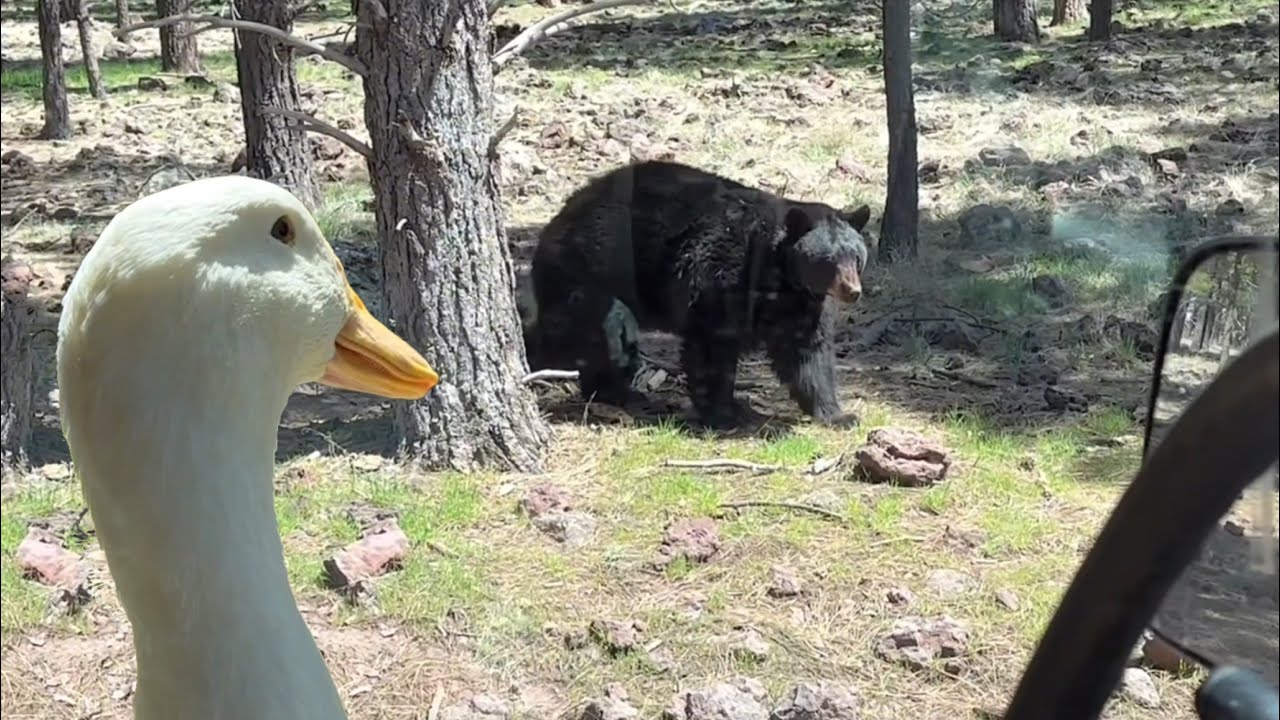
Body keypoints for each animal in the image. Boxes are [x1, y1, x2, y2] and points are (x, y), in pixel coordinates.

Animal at [529, 160, 873, 429]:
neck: (778, 273)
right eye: (827, 261)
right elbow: (712, 343)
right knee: (594, 334)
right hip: (595, 270)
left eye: (856, 256)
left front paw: (837, 414)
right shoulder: (721, 277)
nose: (852, 291)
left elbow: (808, 353)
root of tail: (558, 220)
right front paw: (726, 414)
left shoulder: (801, 303)